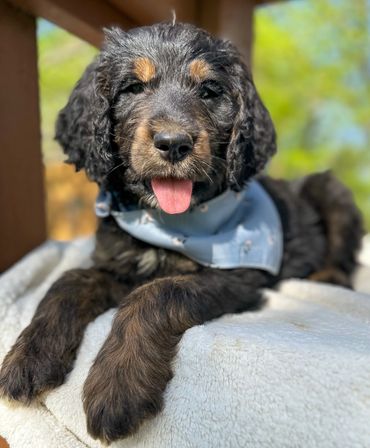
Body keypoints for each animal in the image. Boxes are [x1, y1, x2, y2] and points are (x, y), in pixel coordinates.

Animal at [0, 22, 364, 442]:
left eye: (209, 91)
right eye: (133, 88)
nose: (174, 143)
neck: (169, 222)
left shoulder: (236, 276)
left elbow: (155, 293)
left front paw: (118, 388)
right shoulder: (119, 262)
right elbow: (69, 281)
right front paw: (28, 358)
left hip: (330, 190)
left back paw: (328, 275)